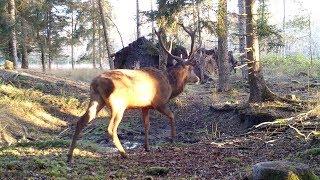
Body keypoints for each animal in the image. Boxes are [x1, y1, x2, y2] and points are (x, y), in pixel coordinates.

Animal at [66, 24, 201, 162]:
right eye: (191, 68)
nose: (198, 79)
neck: (170, 84)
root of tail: (96, 82)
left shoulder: (145, 106)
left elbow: (147, 124)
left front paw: (147, 147)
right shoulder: (159, 102)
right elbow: (172, 116)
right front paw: (173, 139)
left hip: (96, 99)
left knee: (81, 120)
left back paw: (69, 155)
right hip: (118, 104)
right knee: (111, 128)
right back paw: (124, 153)